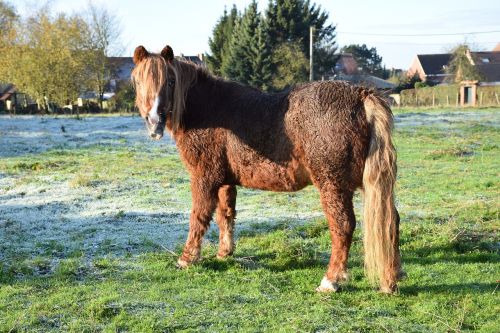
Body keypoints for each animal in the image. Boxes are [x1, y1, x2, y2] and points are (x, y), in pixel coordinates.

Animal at [130, 44, 402, 294]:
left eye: (170, 80)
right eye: (138, 80)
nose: (154, 122)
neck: (209, 111)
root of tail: (362, 96)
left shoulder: (204, 178)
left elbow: (198, 217)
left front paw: (187, 259)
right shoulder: (226, 181)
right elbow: (225, 215)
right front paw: (224, 253)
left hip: (333, 185)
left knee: (343, 226)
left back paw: (331, 280)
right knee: (390, 221)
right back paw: (392, 278)